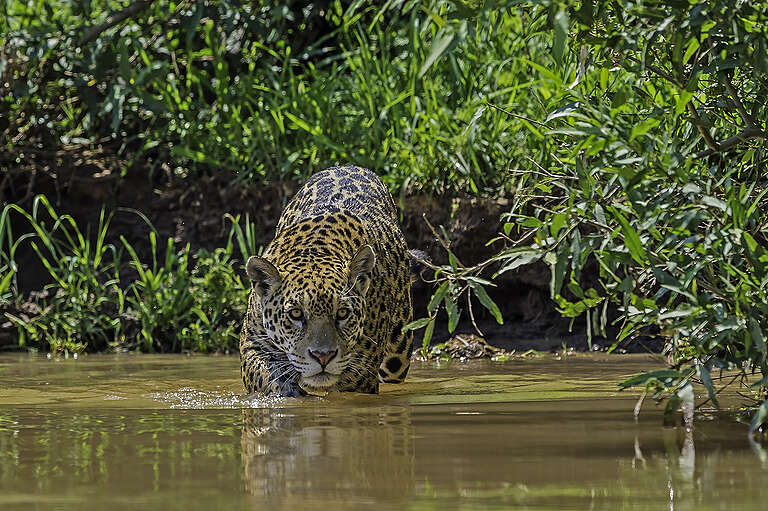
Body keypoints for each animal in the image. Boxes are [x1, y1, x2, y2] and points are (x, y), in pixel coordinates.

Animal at [239, 166, 414, 397]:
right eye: (296, 314)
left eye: (343, 313)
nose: (323, 356)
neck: (315, 250)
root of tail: (348, 166)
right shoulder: (252, 343)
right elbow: (267, 377)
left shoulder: (361, 372)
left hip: (399, 352)